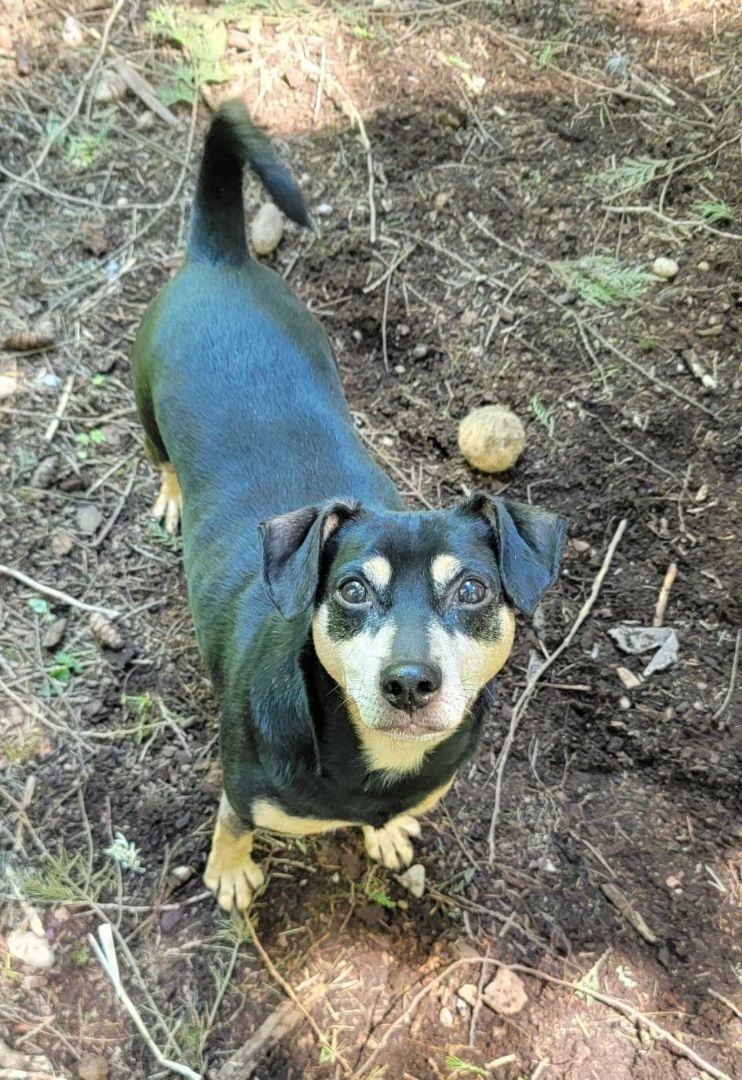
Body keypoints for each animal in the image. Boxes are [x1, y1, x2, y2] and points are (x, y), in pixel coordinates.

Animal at [132, 101, 570, 911]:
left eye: (473, 590)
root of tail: (222, 258)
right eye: (352, 590)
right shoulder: (242, 785)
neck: (374, 759)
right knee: (160, 454)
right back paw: (172, 496)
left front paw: (387, 834)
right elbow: (233, 820)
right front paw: (230, 871)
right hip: (144, 396)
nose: (410, 683)